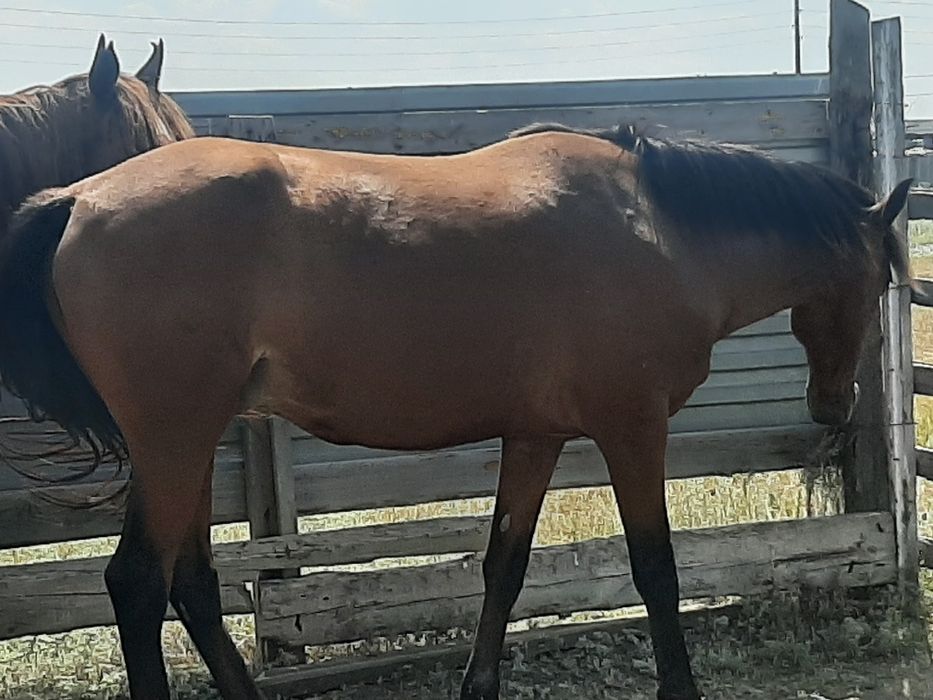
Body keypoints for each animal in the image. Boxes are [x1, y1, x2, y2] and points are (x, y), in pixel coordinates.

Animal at [0, 121, 911, 700]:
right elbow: (655, 569)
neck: (657, 230)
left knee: (188, 581)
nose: (834, 404)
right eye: (876, 281)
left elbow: (503, 568)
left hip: (189, 440)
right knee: (135, 583)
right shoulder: (632, 428)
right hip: (173, 437)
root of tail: (78, 199)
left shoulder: (536, 435)